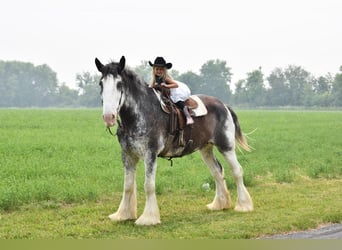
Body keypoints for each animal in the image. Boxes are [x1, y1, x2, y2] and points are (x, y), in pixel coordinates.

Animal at [95, 55, 252, 226]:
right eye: (101, 83)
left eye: (119, 84)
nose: (108, 117)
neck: (142, 112)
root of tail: (223, 105)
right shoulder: (128, 155)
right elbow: (128, 186)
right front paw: (123, 214)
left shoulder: (150, 154)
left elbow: (148, 185)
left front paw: (148, 218)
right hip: (205, 149)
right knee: (217, 172)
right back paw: (219, 204)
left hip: (226, 146)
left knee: (237, 171)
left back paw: (244, 205)